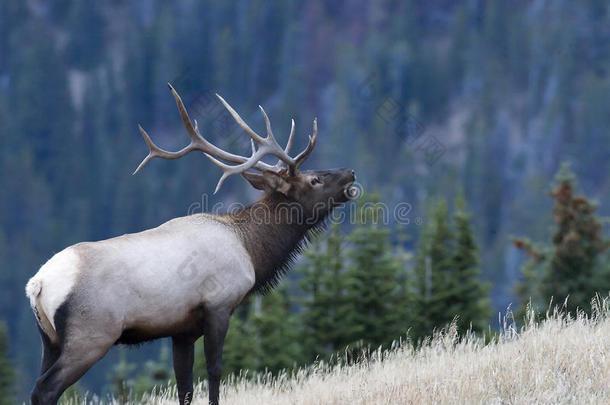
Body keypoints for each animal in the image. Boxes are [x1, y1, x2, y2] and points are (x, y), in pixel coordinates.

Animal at [25, 83, 356, 402]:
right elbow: (214, 371)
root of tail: (37, 284)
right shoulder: (219, 305)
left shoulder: (181, 330)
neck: (251, 250)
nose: (350, 171)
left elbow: (184, 386)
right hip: (91, 334)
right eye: (314, 179)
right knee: (45, 388)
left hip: (49, 340)